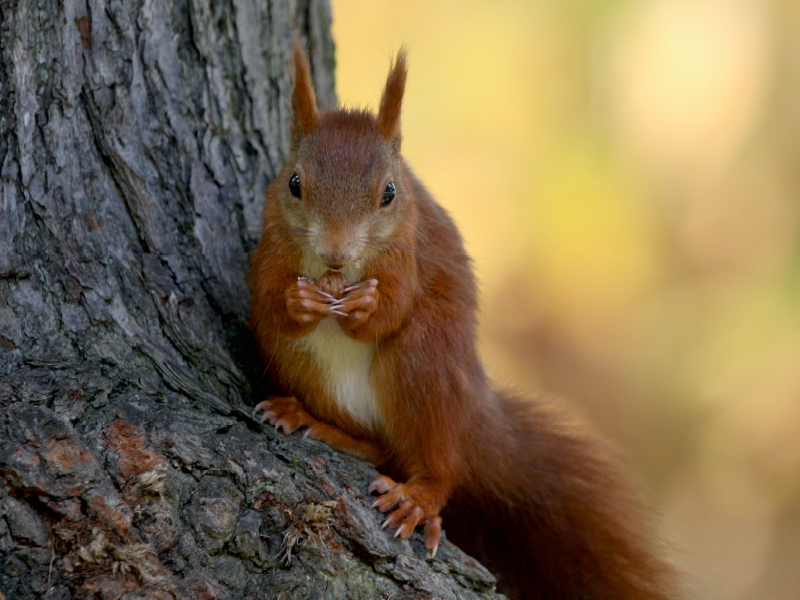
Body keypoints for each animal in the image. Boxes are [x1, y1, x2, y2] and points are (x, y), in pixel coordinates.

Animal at [248, 43, 676, 600]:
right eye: (295, 183)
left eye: (389, 193)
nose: (335, 254)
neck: (336, 275)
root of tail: (471, 412)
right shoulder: (271, 245)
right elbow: (266, 297)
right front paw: (299, 301)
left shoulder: (407, 253)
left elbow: (392, 308)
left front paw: (366, 307)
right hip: (299, 364)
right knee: (377, 445)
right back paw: (310, 420)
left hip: (423, 365)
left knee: (439, 464)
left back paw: (419, 498)